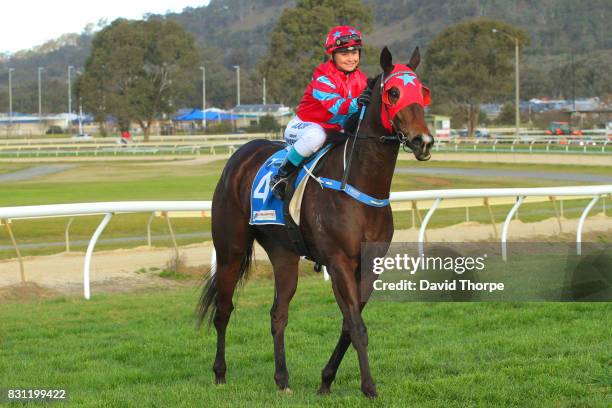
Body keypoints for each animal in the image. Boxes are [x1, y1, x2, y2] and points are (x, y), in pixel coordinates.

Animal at [198, 46, 432, 396]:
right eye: (393, 92)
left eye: (423, 92)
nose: (423, 141)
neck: (359, 183)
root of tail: (240, 154)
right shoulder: (338, 261)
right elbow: (356, 325)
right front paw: (369, 387)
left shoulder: (369, 264)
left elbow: (349, 325)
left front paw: (326, 380)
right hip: (230, 249)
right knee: (223, 310)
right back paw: (220, 374)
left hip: (283, 254)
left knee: (278, 314)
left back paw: (282, 380)